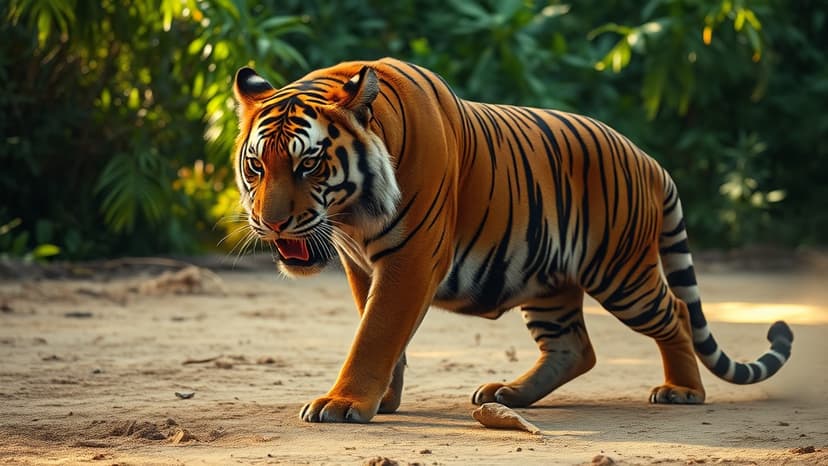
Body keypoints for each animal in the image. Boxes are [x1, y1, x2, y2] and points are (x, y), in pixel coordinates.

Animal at [231, 57, 793, 423]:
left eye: (308, 163)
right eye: (257, 165)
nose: (272, 223)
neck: (350, 218)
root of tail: (648, 160)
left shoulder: (410, 257)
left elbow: (376, 332)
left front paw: (344, 403)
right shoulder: (362, 266)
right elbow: (383, 332)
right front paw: (382, 400)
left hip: (621, 272)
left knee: (674, 311)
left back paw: (682, 391)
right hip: (547, 280)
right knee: (575, 347)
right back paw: (507, 394)